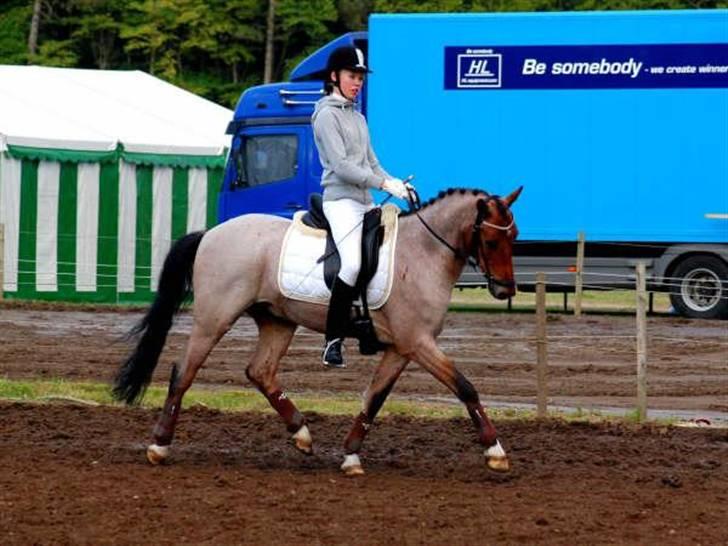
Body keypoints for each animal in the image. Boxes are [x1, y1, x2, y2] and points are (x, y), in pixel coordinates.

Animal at [112, 185, 524, 474]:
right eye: (490, 241)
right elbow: (465, 387)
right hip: (214, 319)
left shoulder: (401, 348)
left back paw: (302, 434)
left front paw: (351, 455)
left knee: (260, 371)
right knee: (183, 372)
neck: (423, 252)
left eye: (514, 236)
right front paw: (495, 451)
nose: (506, 289)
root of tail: (210, 233)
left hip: (277, 321)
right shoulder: (417, 342)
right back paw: (159, 446)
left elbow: (374, 399)